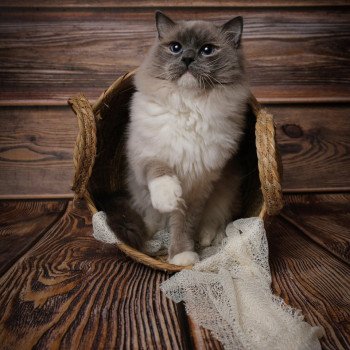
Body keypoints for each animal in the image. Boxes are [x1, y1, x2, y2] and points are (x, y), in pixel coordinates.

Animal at [102, 12, 250, 266]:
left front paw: (182, 256)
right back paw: (150, 237)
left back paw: (206, 239)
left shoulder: (197, 185)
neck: (188, 106)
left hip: (224, 193)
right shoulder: (146, 154)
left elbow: (184, 224)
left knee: (216, 222)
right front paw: (167, 198)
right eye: (176, 48)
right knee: (149, 219)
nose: (188, 58)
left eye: (207, 50)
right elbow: (160, 171)